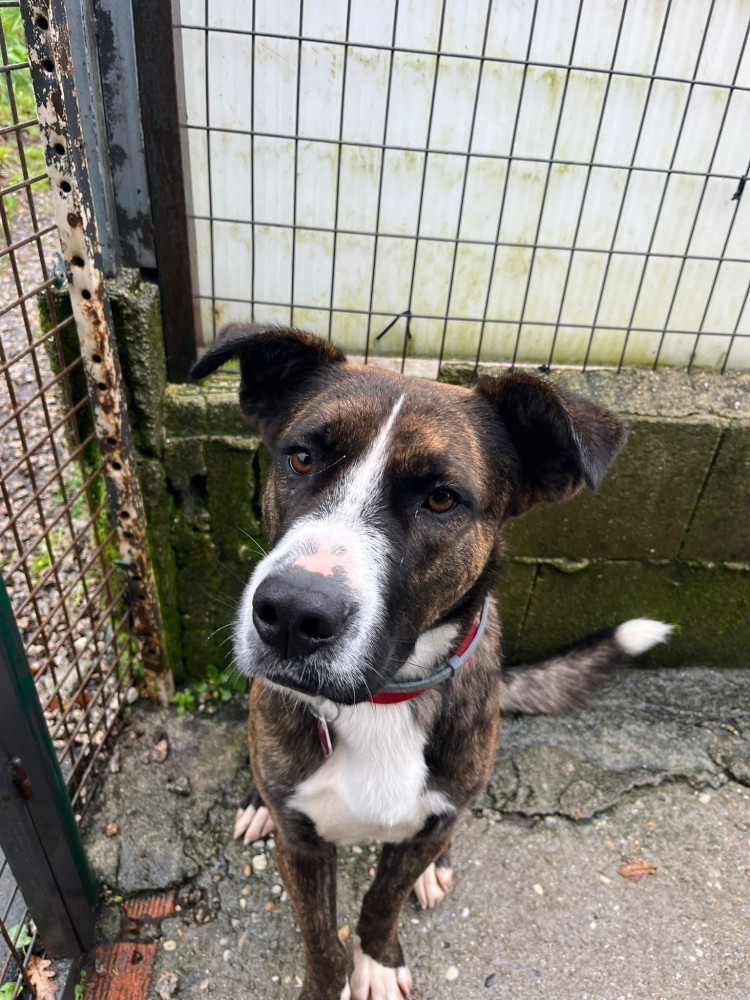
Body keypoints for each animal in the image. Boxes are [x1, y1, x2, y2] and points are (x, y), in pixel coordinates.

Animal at [191, 325, 671, 1000]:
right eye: (302, 458)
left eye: (441, 499)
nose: (289, 613)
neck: (384, 699)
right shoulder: (302, 847)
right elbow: (320, 937)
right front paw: (332, 979)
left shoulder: (425, 820)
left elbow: (381, 900)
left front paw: (378, 959)